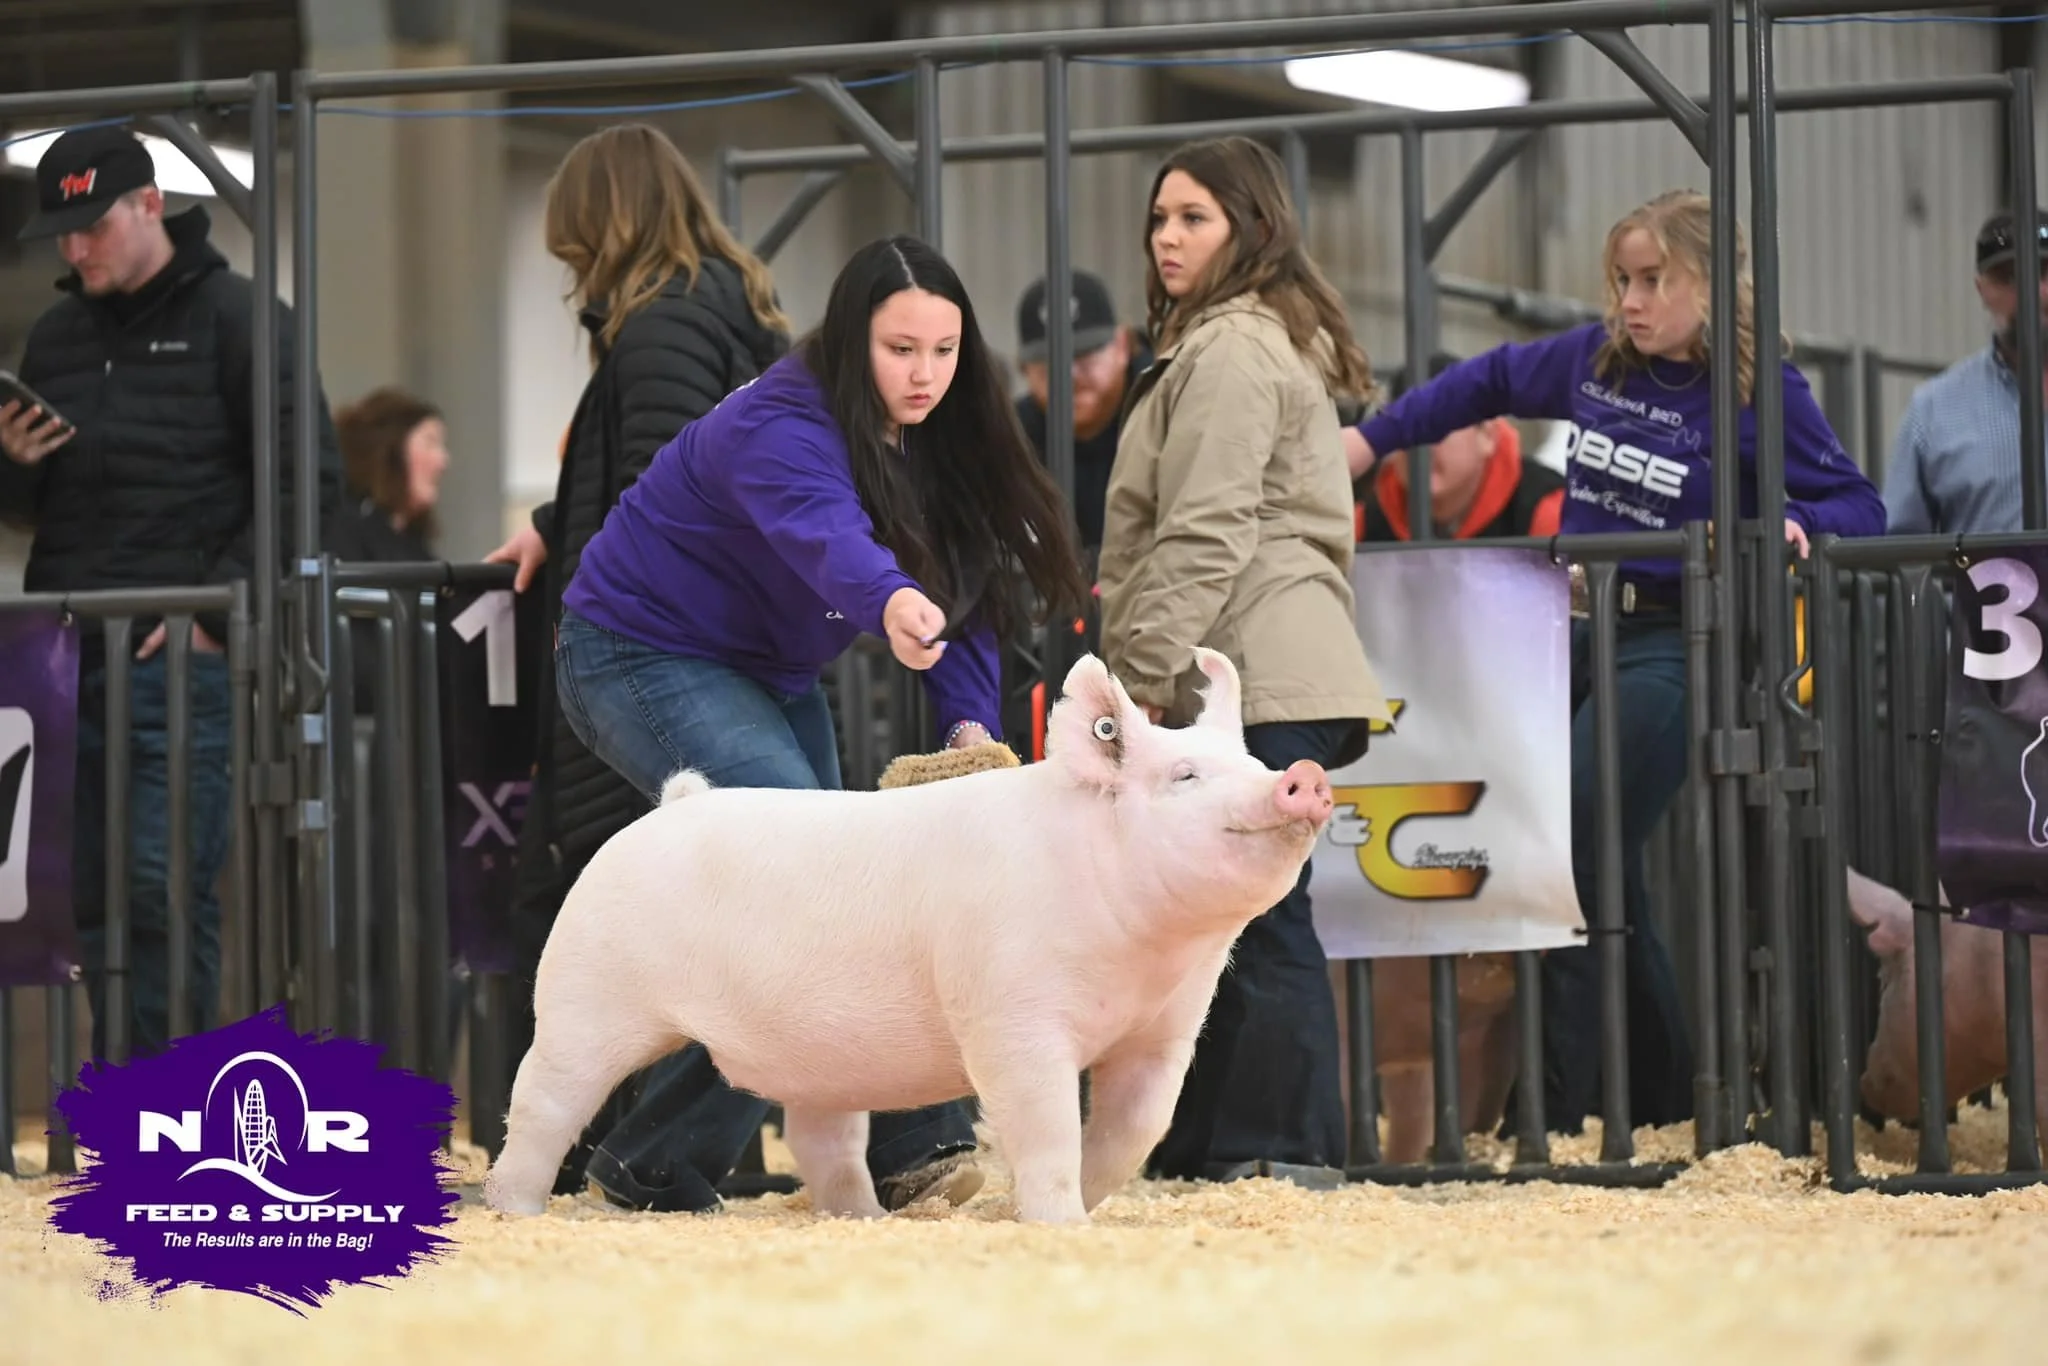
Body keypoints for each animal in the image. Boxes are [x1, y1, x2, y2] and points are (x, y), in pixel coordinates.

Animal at [482, 648, 1338, 1225]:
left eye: (1251, 760)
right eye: (1184, 775)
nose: (1302, 775)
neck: (1145, 956)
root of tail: (671, 804)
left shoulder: (1166, 1032)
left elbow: (1137, 1128)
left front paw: (1073, 1209)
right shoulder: (1009, 1016)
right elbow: (1046, 1121)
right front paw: (1056, 1221)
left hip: (816, 1054)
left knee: (821, 1136)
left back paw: (862, 1219)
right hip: (584, 1000)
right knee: (541, 1101)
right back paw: (513, 1209)